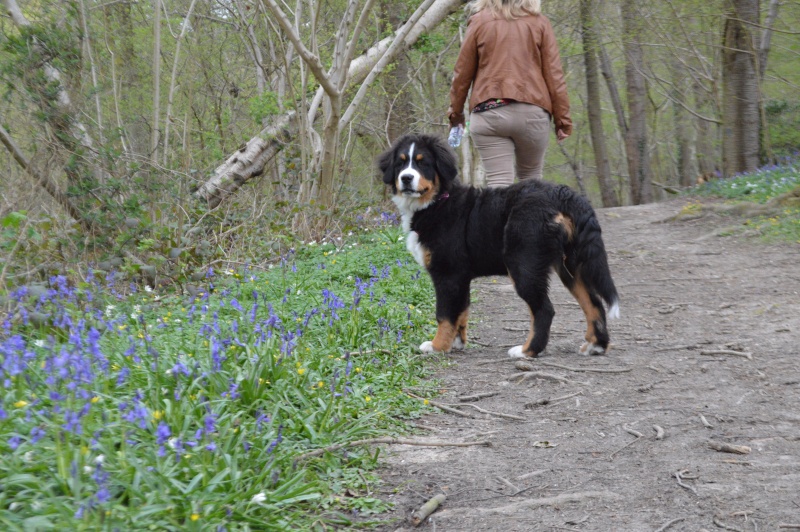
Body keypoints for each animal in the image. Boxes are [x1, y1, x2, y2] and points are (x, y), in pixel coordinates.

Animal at [378, 133, 620, 358]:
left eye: (423, 162)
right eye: (400, 163)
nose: (406, 178)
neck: (437, 202)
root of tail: (563, 194)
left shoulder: (447, 273)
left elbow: (445, 314)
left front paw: (438, 346)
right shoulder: (460, 276)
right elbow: (461, 311)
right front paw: (457, 342)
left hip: (524, 264)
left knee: (545, 310)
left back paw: (527, 350)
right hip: (571, 266)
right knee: (593, 303)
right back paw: (596, 345)